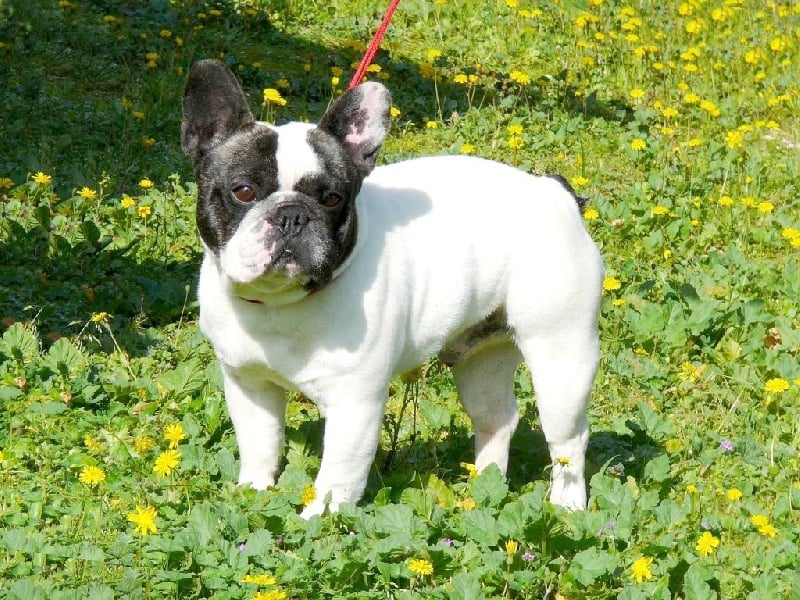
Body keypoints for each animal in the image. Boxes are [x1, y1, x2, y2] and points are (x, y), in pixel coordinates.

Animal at [181, 62, 604, 520]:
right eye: (243, 191)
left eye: (332, 198)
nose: (293, 215)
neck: (280, 302)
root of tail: (555, 193)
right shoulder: (249, 386)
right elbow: (259, 444)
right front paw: (253, 493)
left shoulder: (354, 404)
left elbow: (338, 474)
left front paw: (317, 519)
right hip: (481, 359)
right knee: (497, 417)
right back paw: (481, 487)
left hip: (561, 357)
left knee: (569, 439)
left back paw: (567, 503)